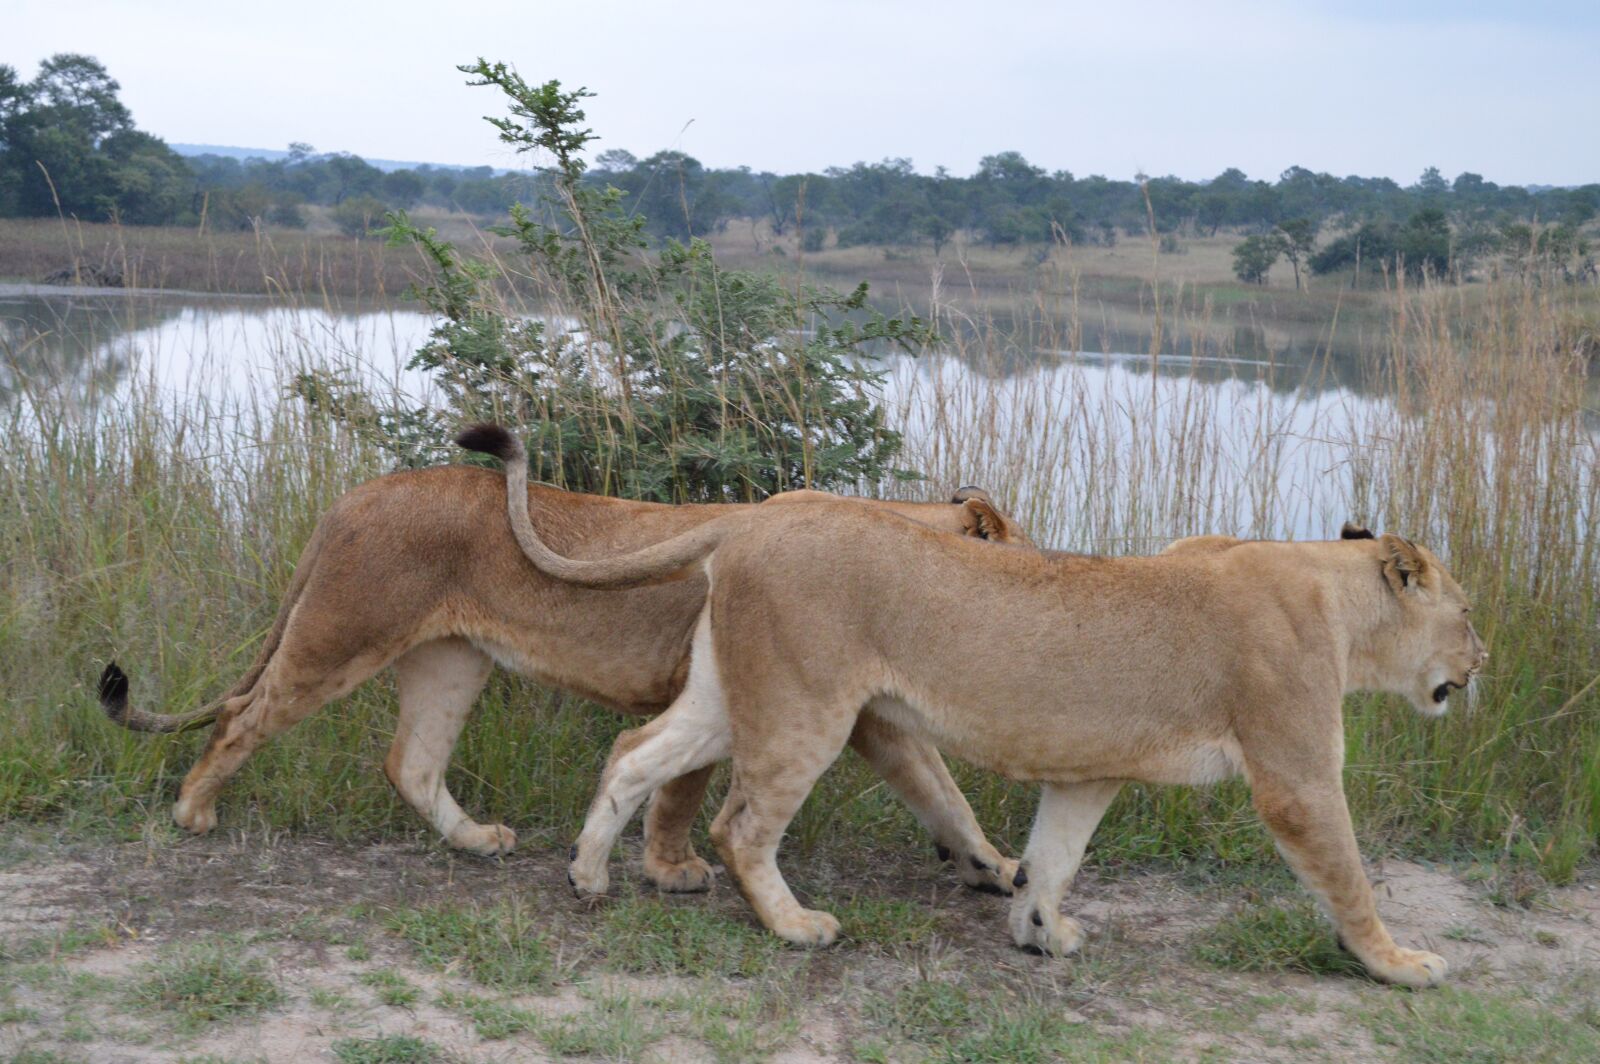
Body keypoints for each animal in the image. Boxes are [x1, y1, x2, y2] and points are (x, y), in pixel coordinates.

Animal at [96, 424, 1026, 894]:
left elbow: (942, 793)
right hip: (340, 633)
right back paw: (193, 813)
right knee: (244, 716)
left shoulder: (864, 714)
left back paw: (476, 841)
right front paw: (672, 870)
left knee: (411, 761)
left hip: (451, 661)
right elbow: (678, 792)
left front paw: (997, 866)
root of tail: (354, 495)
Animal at [492, 495, 1486, 988]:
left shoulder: (1090, 772)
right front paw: (1398, 965)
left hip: (728, 698)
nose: (1481, 660)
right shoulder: (1297, 776)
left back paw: (586, 875)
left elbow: (1054, 857)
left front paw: (1042, 934)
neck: (1338, 599)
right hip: (802, 707)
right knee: (741, 827)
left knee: (634, 750)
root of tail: (754, 517)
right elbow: (1349, 878)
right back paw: (797, 926)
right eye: (1469, 612)